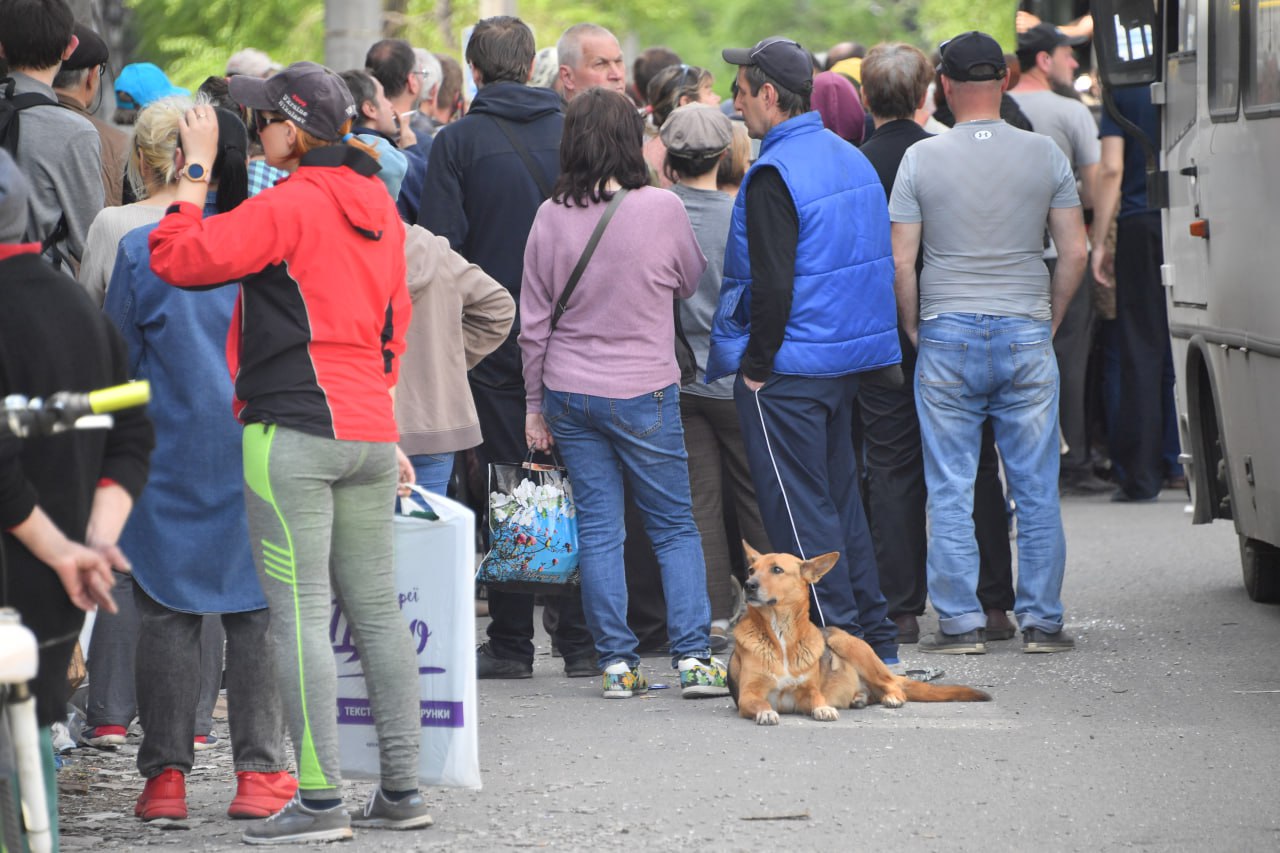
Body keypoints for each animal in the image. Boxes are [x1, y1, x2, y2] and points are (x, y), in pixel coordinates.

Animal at [732, 540, 988, 722]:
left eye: (777, 569)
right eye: (751, 570)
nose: (748, 585)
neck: (780, 634)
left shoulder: (807, 691)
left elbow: (817, 698)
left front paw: (823, 708)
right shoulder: (748, 695)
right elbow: (760, 703)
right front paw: (766, 712)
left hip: (847, 644)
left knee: (894, 685)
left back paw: (892, 697)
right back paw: (860, 697)